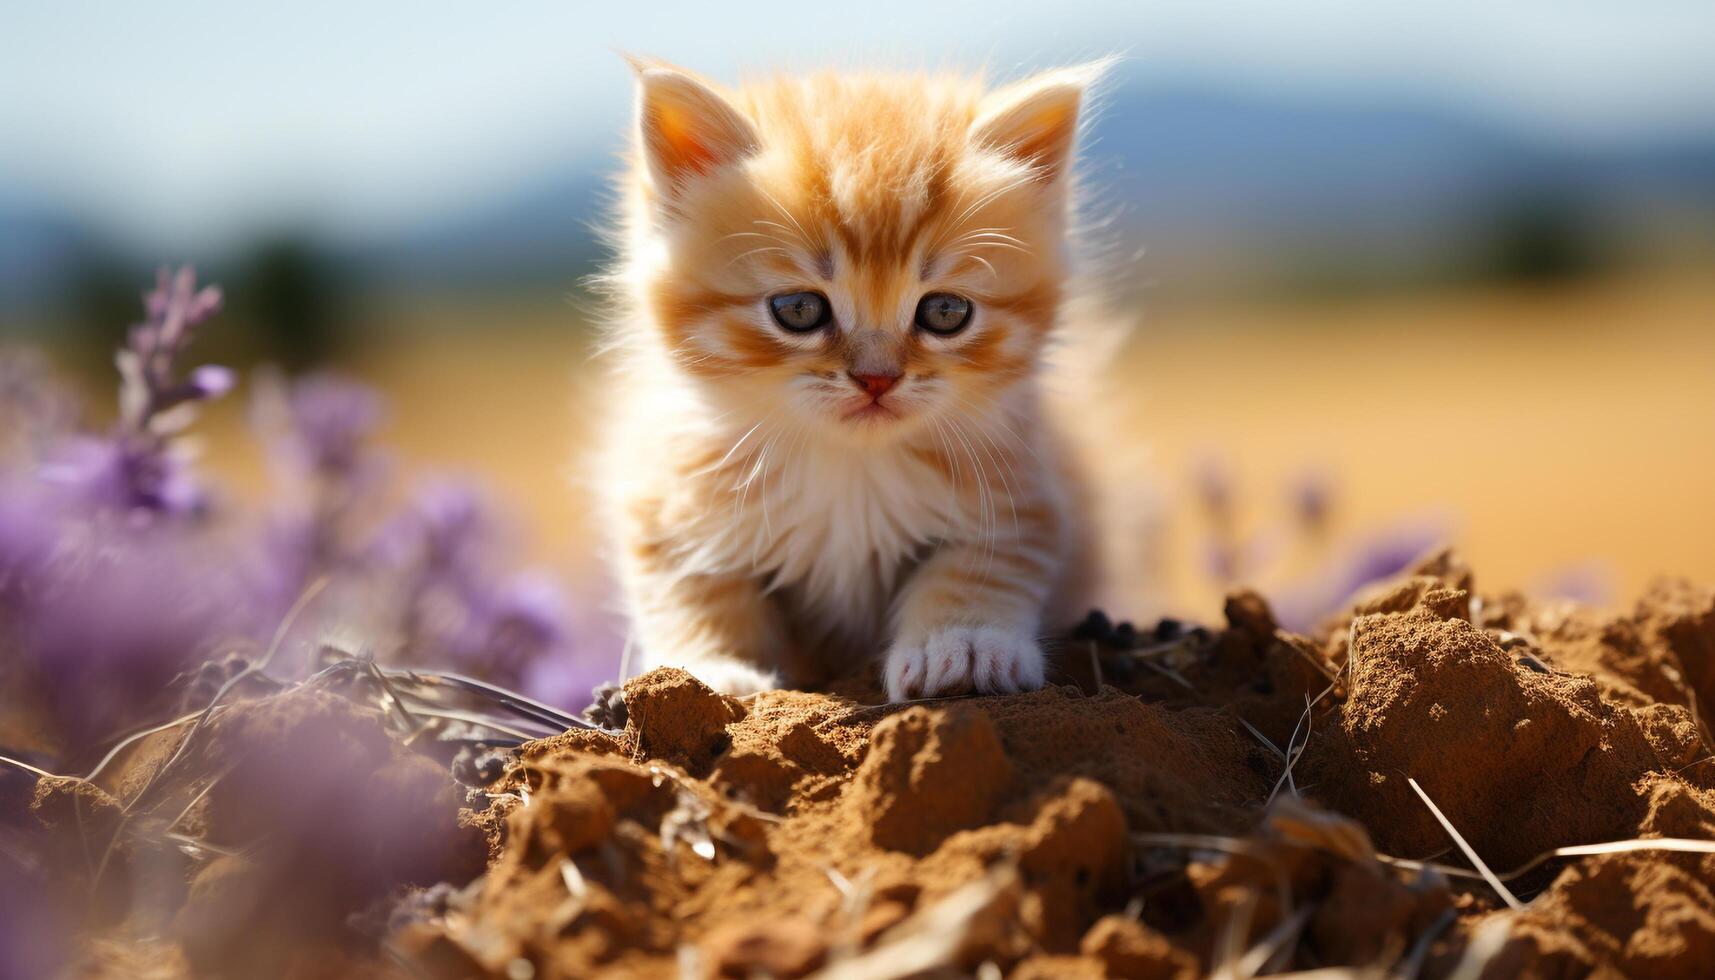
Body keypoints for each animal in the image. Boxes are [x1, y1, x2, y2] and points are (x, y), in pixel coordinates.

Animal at [603, 57, 1104, 700]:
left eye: (945, 312)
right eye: (798, 310)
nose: (876, 378)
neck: (850, 467)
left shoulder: (1023, 497)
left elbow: (980, 569)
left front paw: (963, 646)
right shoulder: (664, 502)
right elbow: (693, 587)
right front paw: (709, 668)